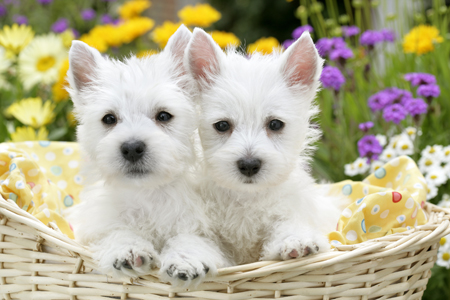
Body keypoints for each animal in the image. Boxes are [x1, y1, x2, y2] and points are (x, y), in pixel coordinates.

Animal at [66, 25, 229, 286]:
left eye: (163, 116)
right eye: (109, 119)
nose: (132, 148)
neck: (148, 194)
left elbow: (191, 238)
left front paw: (185, 260)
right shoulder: (96, 225)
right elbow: (116, 232)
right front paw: (128, 250)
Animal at [185, 28, 342, 264]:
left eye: (275, 124)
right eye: (222, 125)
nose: (249, 165)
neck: (247, 196)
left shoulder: (291, 211)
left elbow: (287, 226)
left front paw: (296, 241)